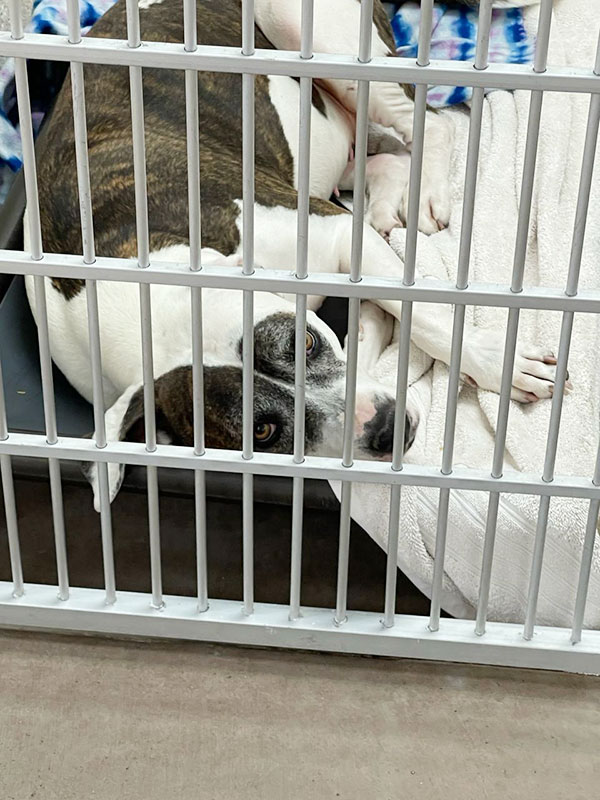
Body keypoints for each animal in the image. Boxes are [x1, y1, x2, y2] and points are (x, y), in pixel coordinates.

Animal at [23, 0, 556, 510]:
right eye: (264, 431)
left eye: (305, 343)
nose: (387, 426)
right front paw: (371, 327)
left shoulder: (333, 232)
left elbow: (424, 314)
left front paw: (499, 362)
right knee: (381, 157)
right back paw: (384, 205)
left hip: (311, 32)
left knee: (431, 124)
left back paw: (426, 194)